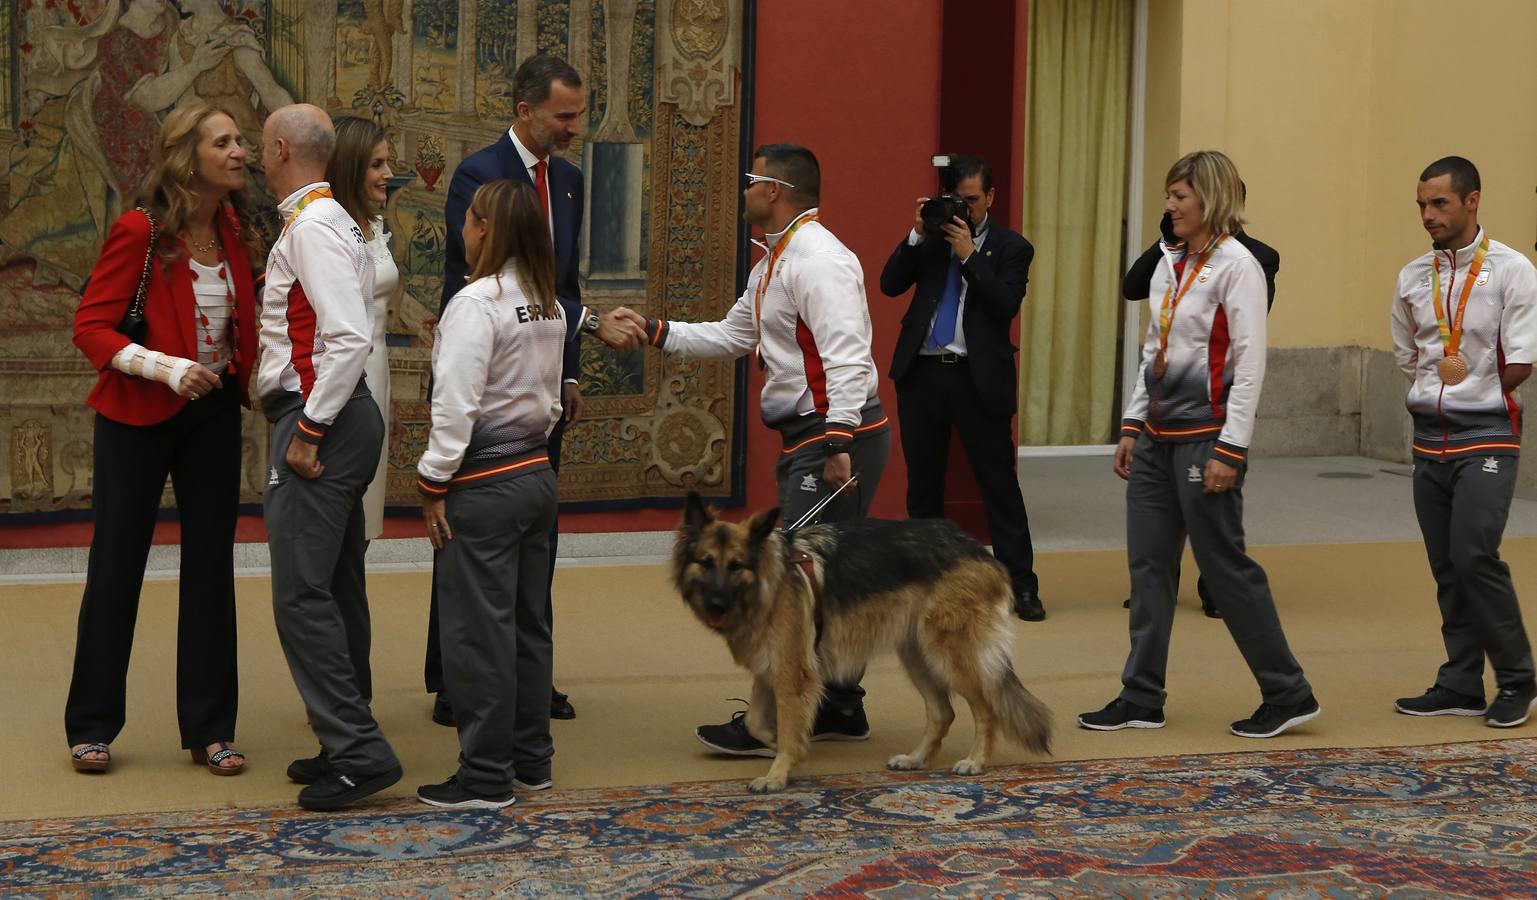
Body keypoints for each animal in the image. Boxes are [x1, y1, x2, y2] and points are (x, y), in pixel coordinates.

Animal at [676, 491, 1051, 792]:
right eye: (705, 563)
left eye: (736, 565)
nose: (716, 605)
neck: (770, 579)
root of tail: (981, 551)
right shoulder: (770, 669)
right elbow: (757, 721)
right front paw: (780, 743)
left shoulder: (791, 674)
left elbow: (785, 726)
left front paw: (778, 772)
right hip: (916, 657)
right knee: (942, 713)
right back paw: (915, 759)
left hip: (948, 655)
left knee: (987, 709)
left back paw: (975, 761)